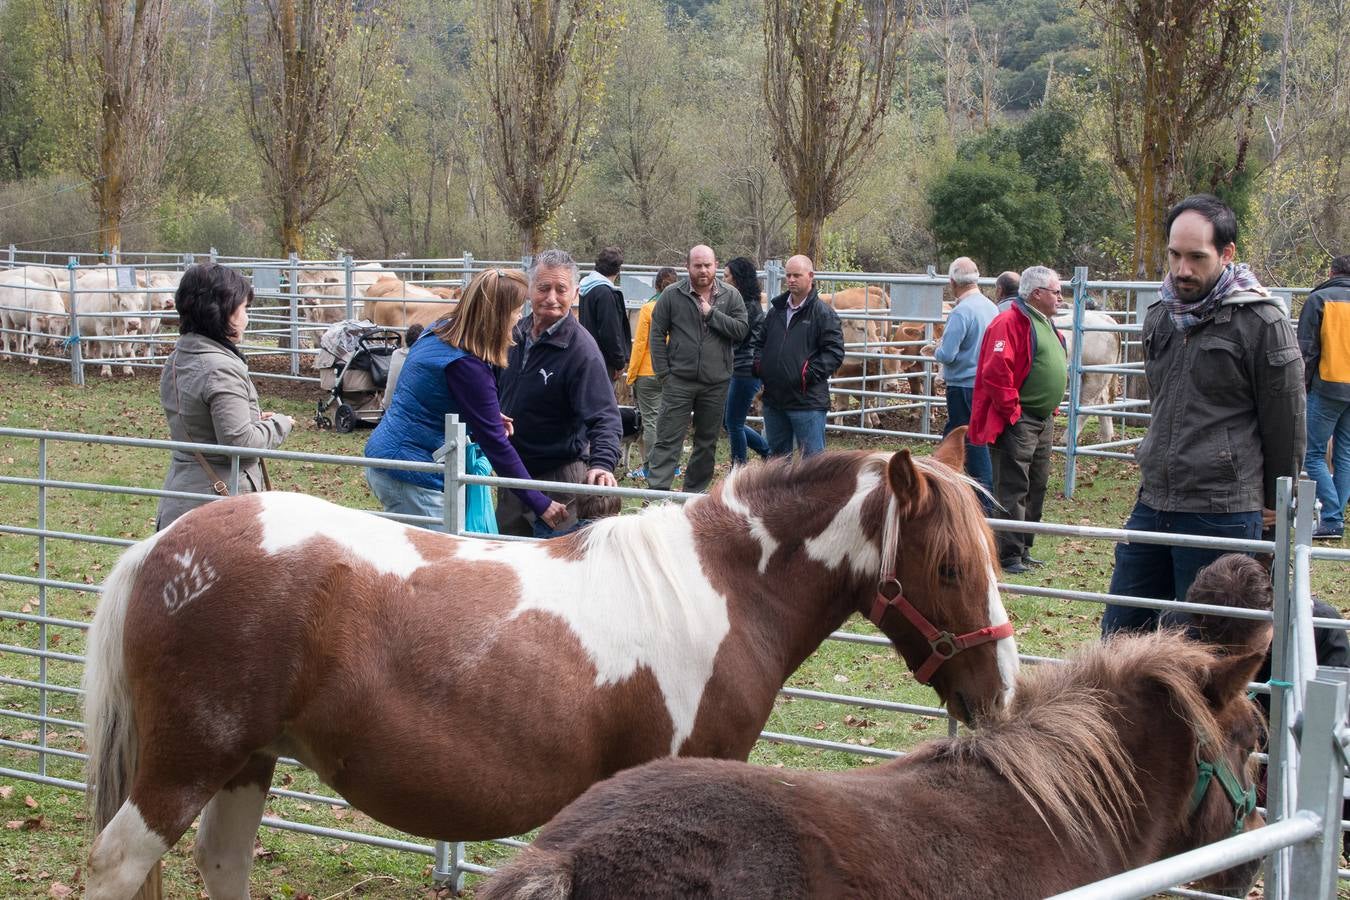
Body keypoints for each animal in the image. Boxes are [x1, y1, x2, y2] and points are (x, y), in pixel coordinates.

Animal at [84, 431, 1015, 895]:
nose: (999, 692)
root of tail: (161, 550)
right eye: (949, 568)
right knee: (117, 864)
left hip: (246, 762)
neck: (722, 589)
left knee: (222, 865)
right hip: (186, 766)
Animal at [1053, 310, 1117, 442]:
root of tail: (1104, 317)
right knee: (1103, 400)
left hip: (1094, 374)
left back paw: (1065, 439)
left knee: (1087, 403)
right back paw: (1106, 437)